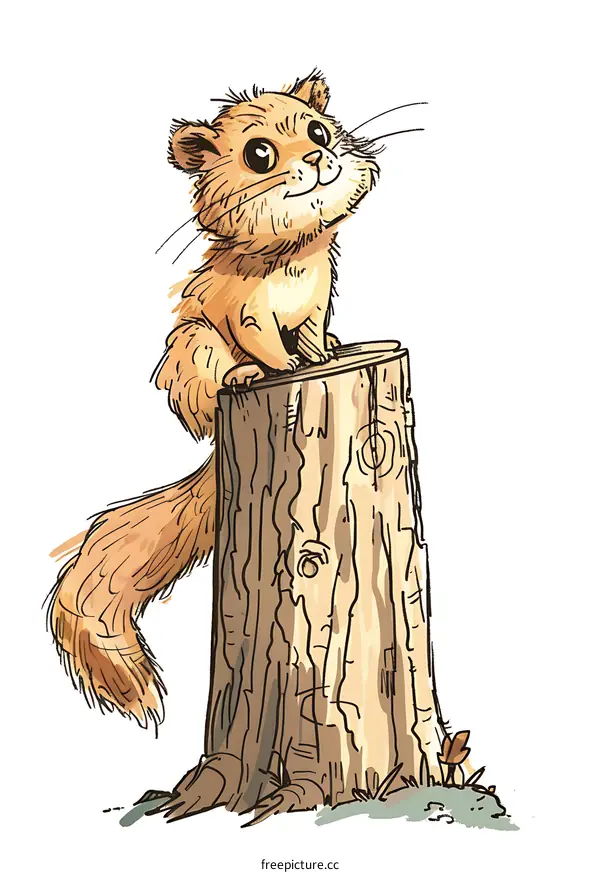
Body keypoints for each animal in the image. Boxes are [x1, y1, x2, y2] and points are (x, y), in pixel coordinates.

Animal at [47, 70, 381, 729]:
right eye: (259, 155)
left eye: (318, 130)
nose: (318, 159)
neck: (291, 257)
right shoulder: (244, 314)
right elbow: (267, 343)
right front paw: (281, 368)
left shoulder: (316, 301)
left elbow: (311, 334)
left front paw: (321, 355)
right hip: (198, 351)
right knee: (224, 370)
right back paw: (245, 377)